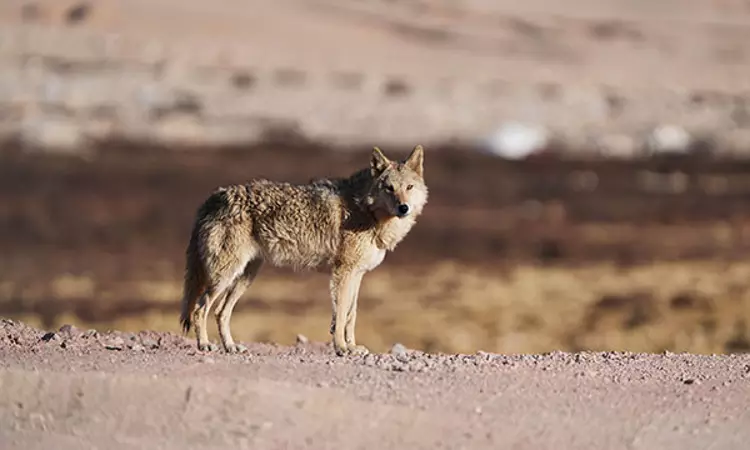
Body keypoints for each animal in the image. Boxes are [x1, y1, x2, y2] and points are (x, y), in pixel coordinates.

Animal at [179, 145, 428, 356]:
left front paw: (353, 347)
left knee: (220, 312)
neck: (367, 212)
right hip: (224, 276)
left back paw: (231, 347)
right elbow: (340, 315)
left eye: (409, 187)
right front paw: (341, 348)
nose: (403, 208)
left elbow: (351, 315)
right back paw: (205, 345)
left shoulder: (357, 274)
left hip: (244, 277)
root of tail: (215, 196)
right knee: (200, 308)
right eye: (389, 188)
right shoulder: (343, 273)